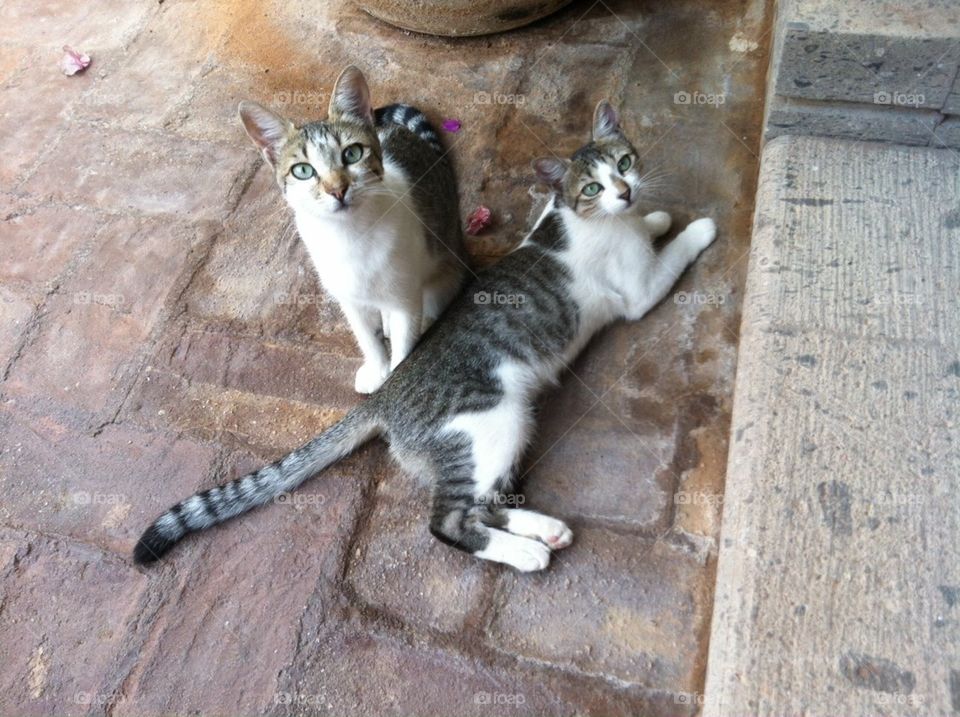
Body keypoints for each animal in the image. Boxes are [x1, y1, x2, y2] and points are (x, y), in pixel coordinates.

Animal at [139, 99, 716, 572]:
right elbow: (672, 255)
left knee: (485, 503)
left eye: (624, 164)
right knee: (448, 520)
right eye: (593, 186)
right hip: (493, 422)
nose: (625, 192)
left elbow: (650, 225)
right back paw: (526, 552)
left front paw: (655, 216)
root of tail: (390, 391)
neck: (579, 219)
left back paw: (544, 530)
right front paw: (697, 227)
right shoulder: (638, 290)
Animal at [238, 65, 466, 392]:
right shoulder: (350, 299)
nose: (337, 189)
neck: (349, 235)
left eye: (352, 154)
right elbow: (367, 338)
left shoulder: (406, 298)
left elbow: (404, 349)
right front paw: (377, 369)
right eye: (303, 171)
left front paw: (393, 376)